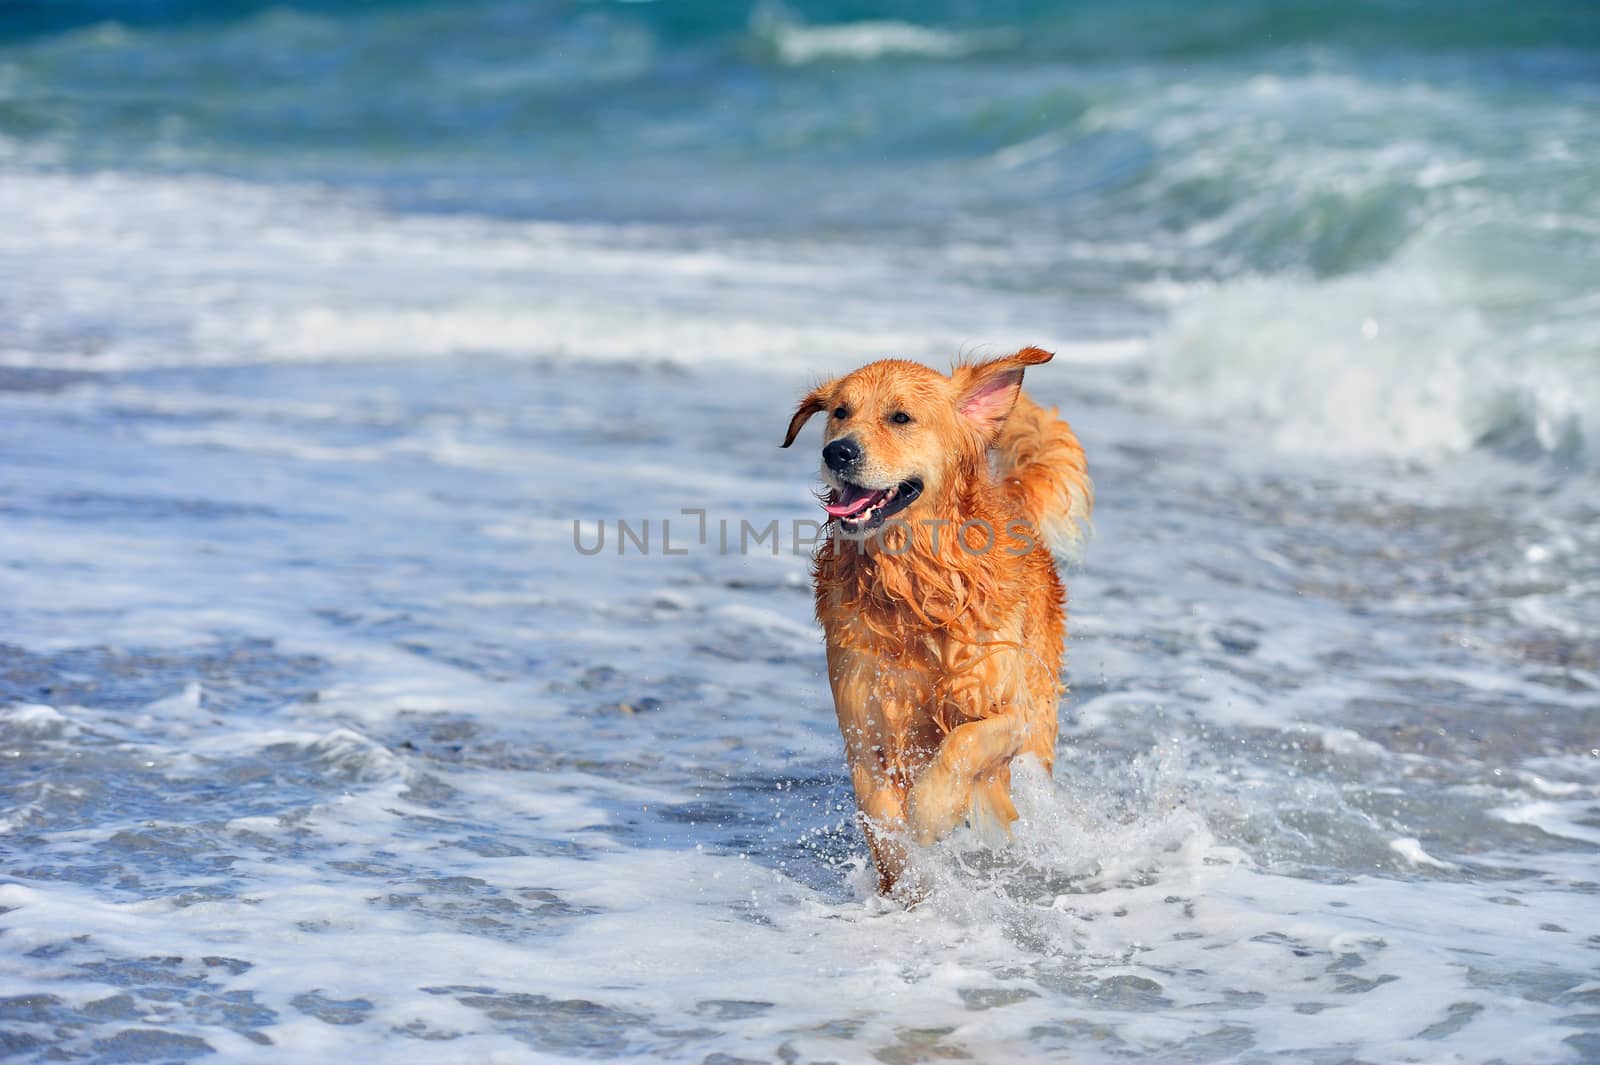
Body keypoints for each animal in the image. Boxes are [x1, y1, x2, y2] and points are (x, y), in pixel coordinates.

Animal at [784, 348, 1094, 895]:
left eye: (900, 417)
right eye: (840, 412)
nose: (838, 452)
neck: (915, 585)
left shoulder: (1011, 711)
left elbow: (963, 742)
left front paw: (931, 812)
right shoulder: (864, 730)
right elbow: (881, 819)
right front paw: (908, 883)